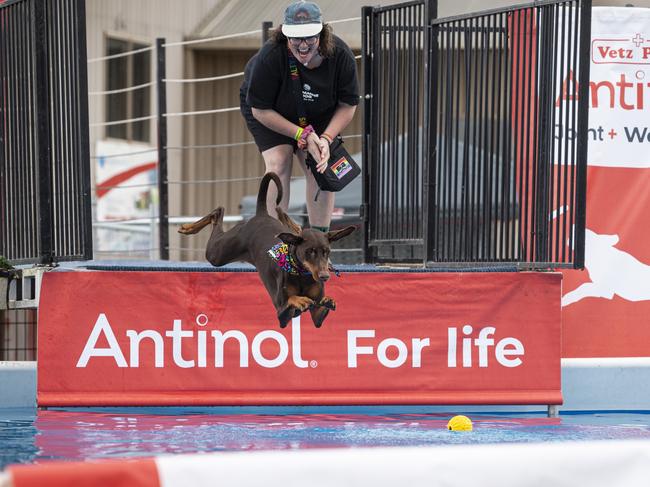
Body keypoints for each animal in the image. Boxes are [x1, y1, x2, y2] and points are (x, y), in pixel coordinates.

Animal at [177, 172, 354, 328]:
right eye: (309, 251)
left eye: (327, 252)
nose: (325, 276)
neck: (301, 274)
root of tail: (261, 214)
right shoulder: (281, 312)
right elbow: (291, 300)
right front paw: (300, 299)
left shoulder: (317, 317)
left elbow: (320, 311)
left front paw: (328, 300)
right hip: (217, 253)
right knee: (218, 212)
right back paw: (189, 227)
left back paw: (290, 223)